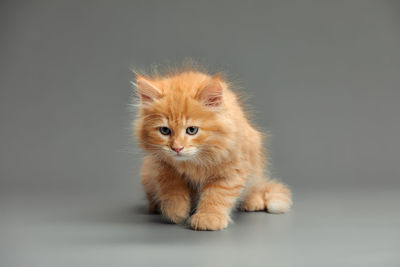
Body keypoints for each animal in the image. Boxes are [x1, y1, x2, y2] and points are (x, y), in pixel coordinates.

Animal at [134, 66, 290, 230]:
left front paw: (208, 218)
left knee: (254, 186)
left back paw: (253, 201)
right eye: (165, 131)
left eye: (192, 130)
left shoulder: (233, 169)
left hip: (255, 167)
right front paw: (175, 210)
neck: (194, 162)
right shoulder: (161, 165)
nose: (177, 148)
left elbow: (217, 195)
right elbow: (172, 187)